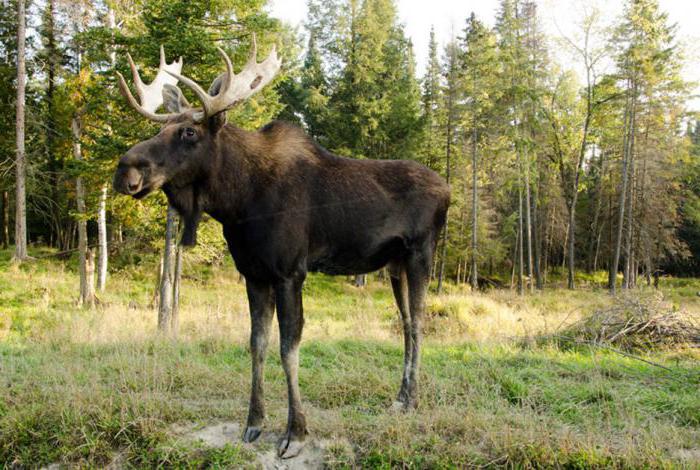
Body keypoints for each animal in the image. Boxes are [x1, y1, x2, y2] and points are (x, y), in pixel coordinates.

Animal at [109, 37, 448, 458]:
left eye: (188, 132)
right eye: (162, 127)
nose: (126, 168)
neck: (237, 203)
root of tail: (448, 190)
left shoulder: (290, 272)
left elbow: (289, 348)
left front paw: (295, 431)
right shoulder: (253, 273)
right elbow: (257, 344)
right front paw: (253, 422)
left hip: (421, 254)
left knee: (417, 323)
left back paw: (411, 399)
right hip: (394, 264)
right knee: (404, 322)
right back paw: (401, 397)